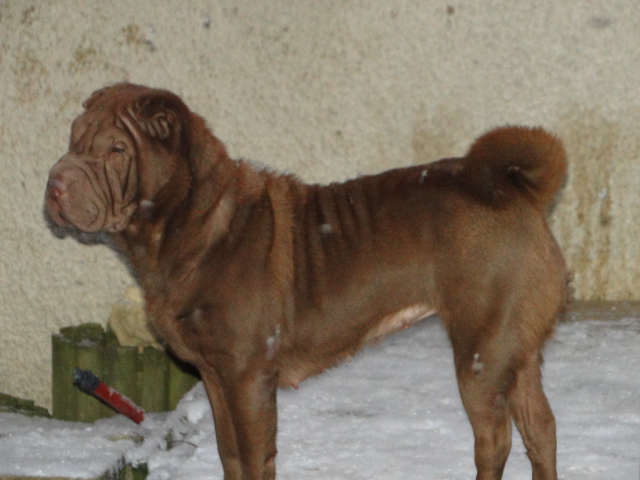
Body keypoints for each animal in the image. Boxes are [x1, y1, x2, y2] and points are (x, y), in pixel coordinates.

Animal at [45, 83, 564, 480]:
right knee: (541, 429)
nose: (55, 181)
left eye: (116, 150)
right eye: (72, 139)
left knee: (494, 439)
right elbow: (229, 455)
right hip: (516, 351)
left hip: (481, 351)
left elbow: (254, 458)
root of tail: (516, 189)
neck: (192, 224)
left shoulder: (247, 375)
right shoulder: (215, 375)